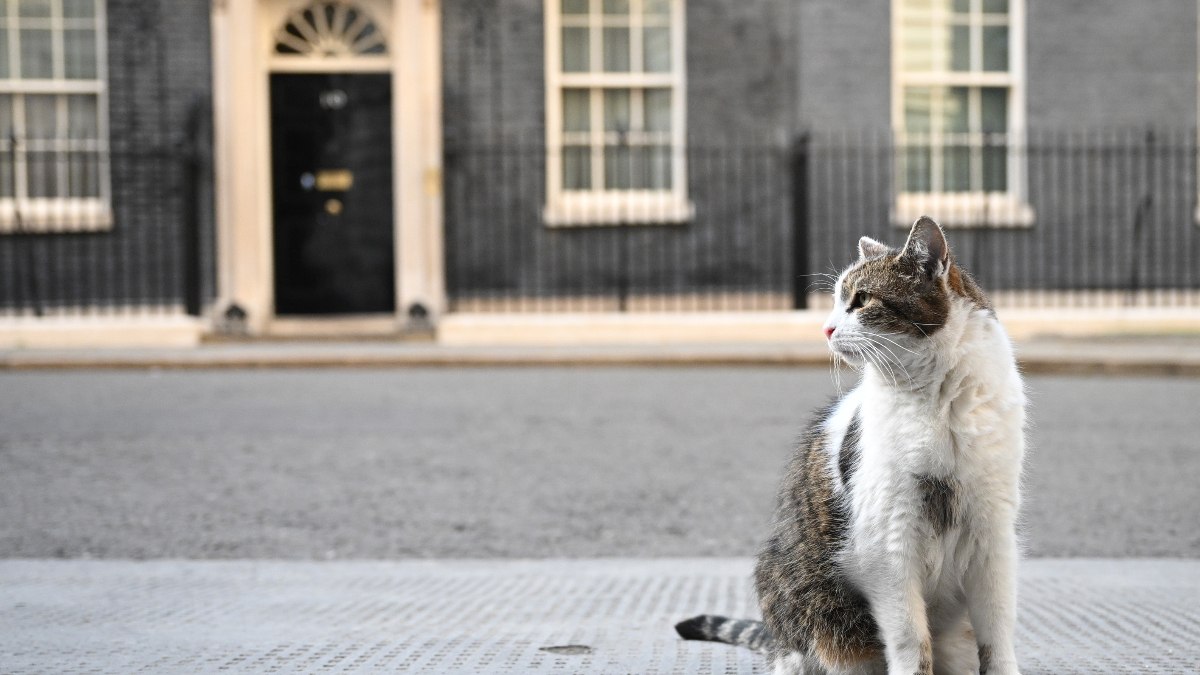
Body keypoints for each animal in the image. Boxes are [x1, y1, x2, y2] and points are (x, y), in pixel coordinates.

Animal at [681, 216, 1027, 672]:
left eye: (861, 300)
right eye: (834, 302)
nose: (826, 328)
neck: (939, 402)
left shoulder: (992, 532)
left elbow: (998, 633)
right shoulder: (888, 543)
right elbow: (911, 642)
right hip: (815, 613)